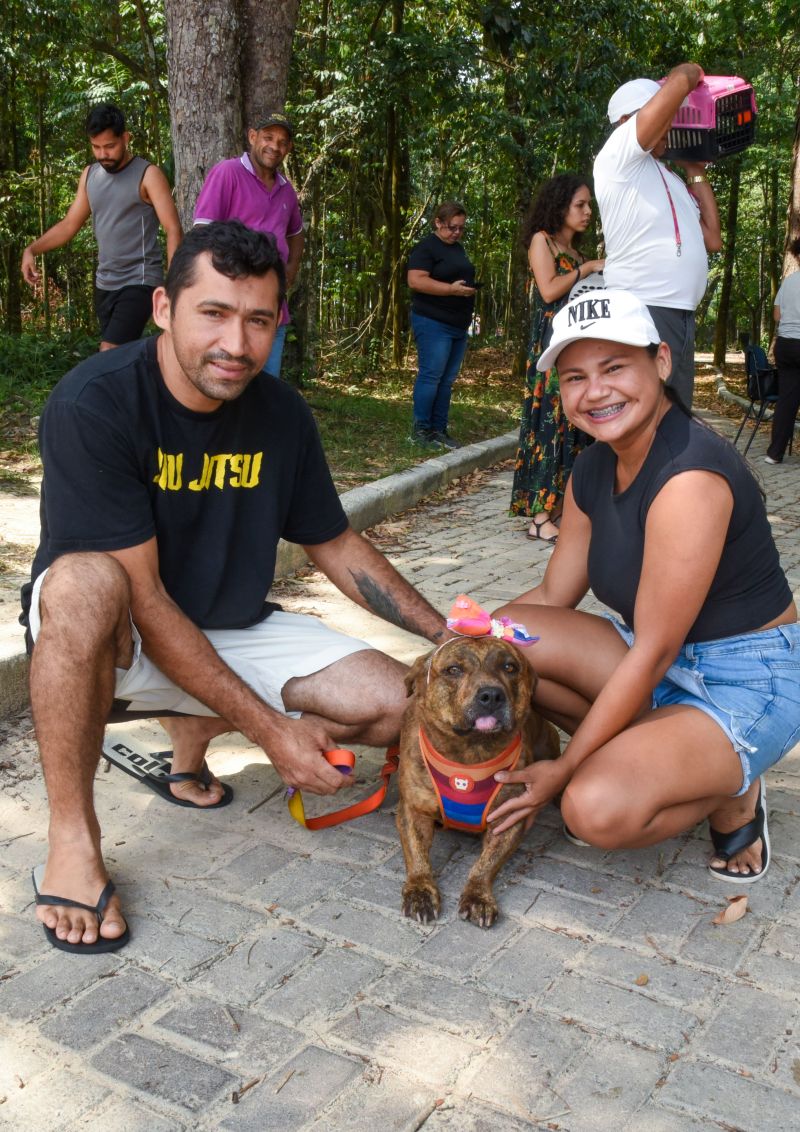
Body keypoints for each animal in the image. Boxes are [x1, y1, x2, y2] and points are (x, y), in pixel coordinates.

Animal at [398, 638, 561, 928]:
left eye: (509, 667)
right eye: (453, 670)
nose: (492, 695)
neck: (470, 755)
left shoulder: (507, 820)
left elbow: (486, 863)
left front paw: (478, 896)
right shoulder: (413, 811)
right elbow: (416, 854)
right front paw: (420, 890)